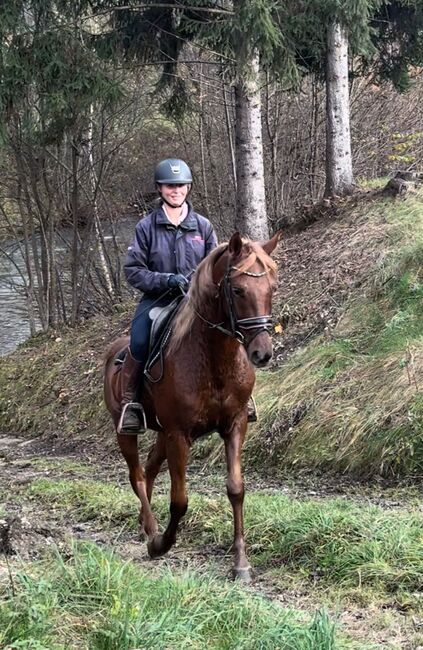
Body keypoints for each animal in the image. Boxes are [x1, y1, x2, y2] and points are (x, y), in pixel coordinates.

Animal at [104, 230, 280, 580]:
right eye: (237, 290)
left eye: (272, 287)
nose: (262, 353)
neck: (214, 359)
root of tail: (112, 351)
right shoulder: (178, 435)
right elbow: (179, 500)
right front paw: (161, 545)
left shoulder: (235, 425)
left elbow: (236, 489)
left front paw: (240, 562)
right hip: (126, 431)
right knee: (137, 475)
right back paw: (151, 529)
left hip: (161, 434)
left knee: (149, 469)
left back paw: (144, 524)